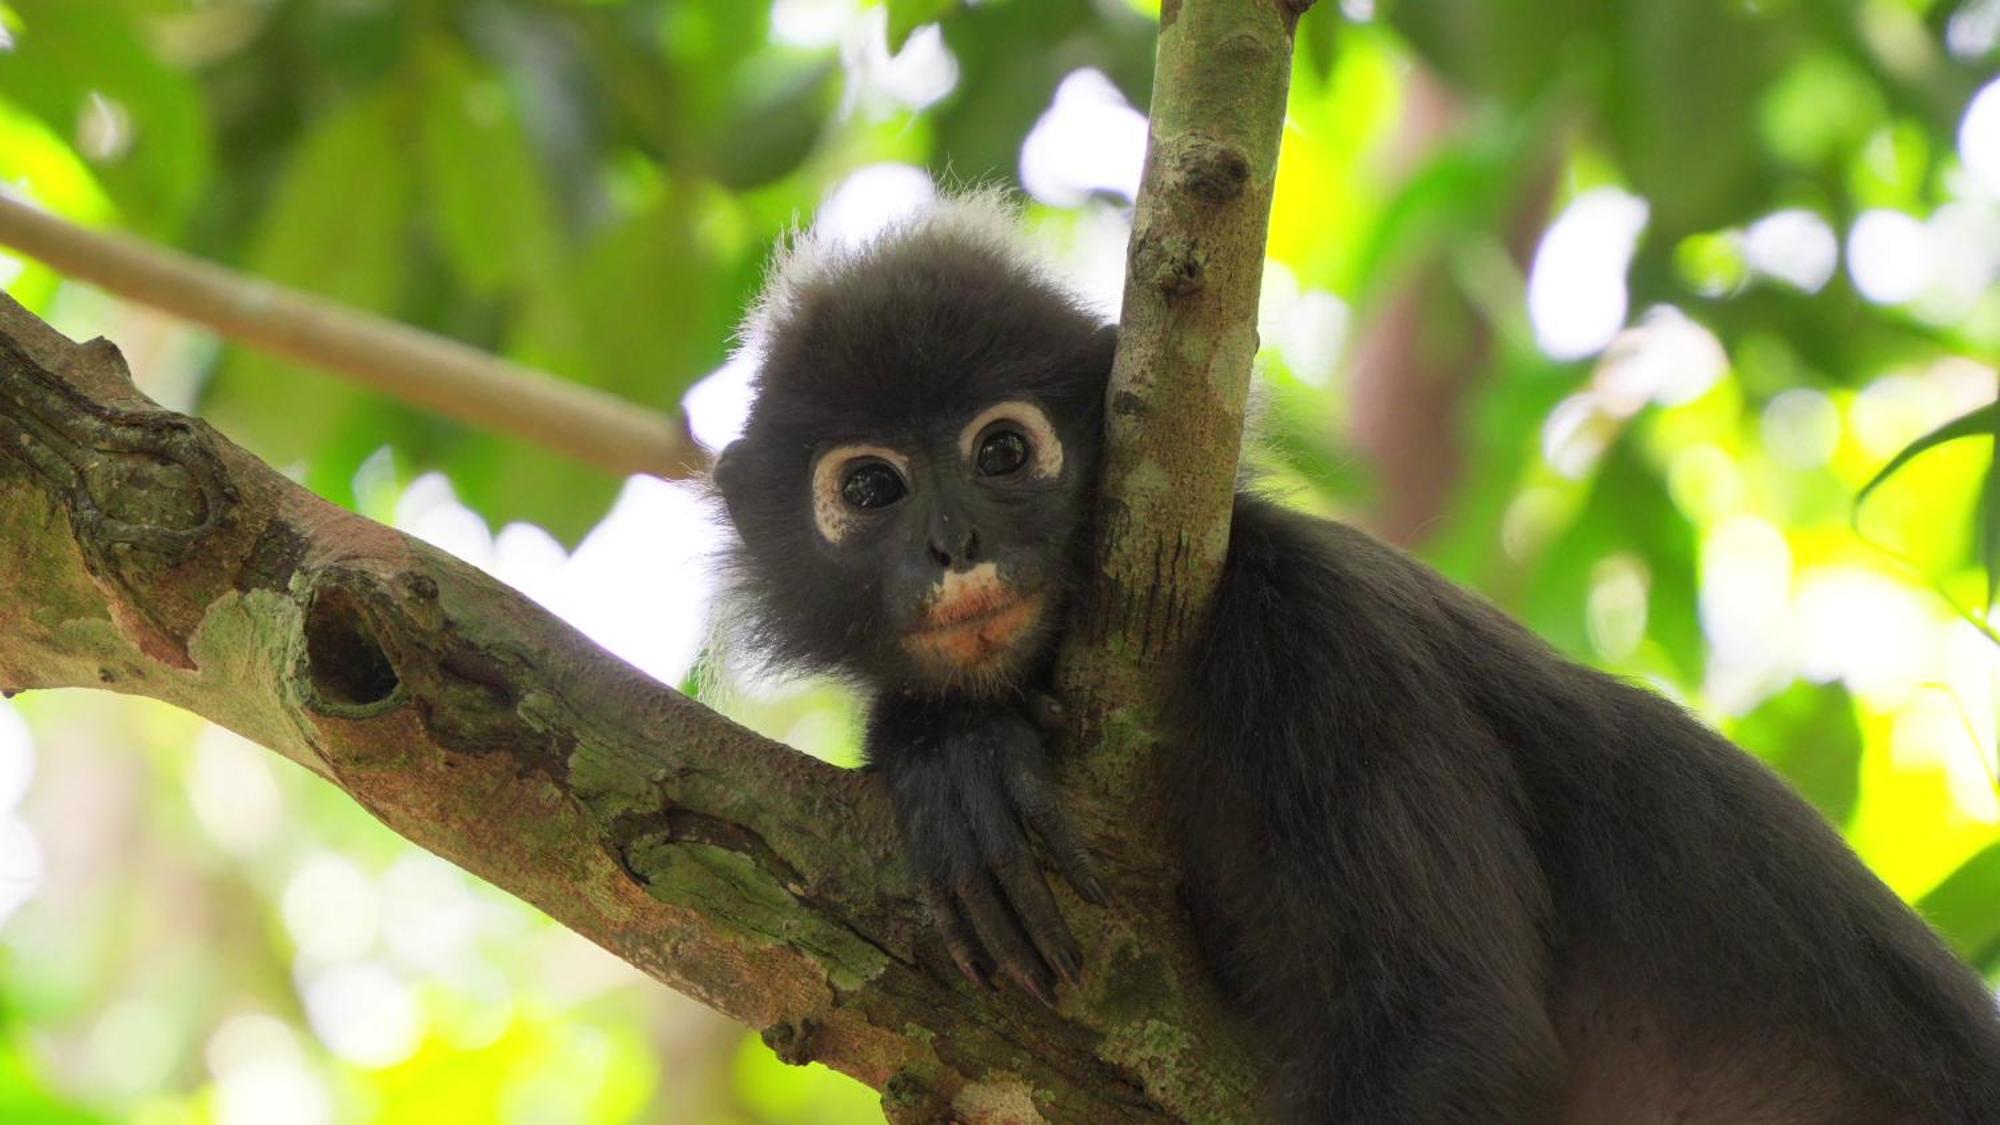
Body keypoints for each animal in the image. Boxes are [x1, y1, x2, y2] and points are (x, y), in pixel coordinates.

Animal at [712, 197, 2000, 1112]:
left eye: (1000, 452)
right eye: (869, 489)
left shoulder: (1316, 640)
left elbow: (1450, 1030)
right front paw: (949, 754)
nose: (953, 543)